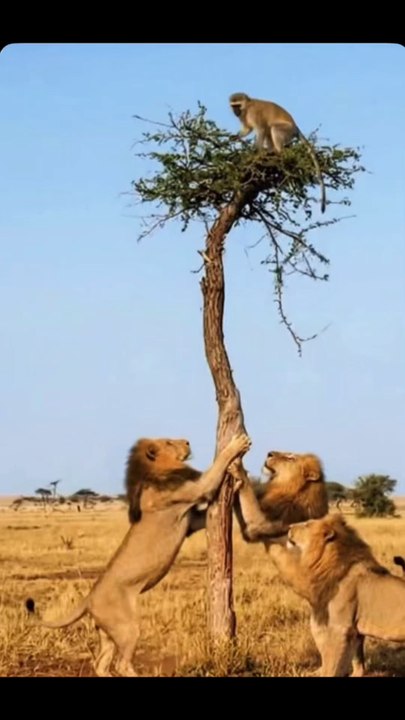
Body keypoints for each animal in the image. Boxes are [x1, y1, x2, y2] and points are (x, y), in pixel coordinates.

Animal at [26, 432, 251, 677]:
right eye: (169, 442)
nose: (187, 442)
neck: (154, 473)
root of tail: (89, 598)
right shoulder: (194, 490)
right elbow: (216, 468)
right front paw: (237, 445)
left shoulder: (191, 522)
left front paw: (238, 480)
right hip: (127, 627)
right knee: (121, 664)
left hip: (107, 631)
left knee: (101, 663)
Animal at [269, 514, 405, 677]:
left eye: (307, 525)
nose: (289, 526)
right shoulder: (355, 630)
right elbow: (358, 660)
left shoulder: (341, 627)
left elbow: (332, 662)